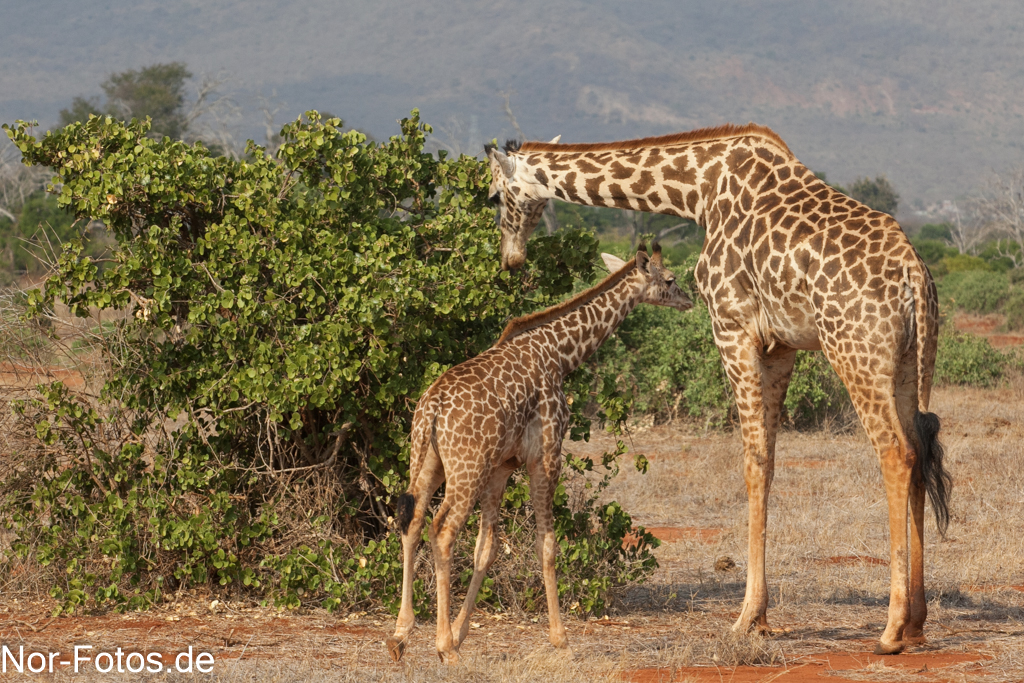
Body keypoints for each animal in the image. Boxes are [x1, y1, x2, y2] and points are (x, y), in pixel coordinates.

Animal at [387, 244, 692, 663]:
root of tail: (431, 408)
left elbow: (487, 550)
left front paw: (461, 631)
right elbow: (546, 544)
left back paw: (400, 636)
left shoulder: (502, 466)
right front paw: (560, 639)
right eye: (670, 279)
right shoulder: (546, 455)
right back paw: (443, 646)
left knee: (413, 520)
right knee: (443, 530)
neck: (561, 355)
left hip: (428, 460)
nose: (689, 300)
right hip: (466, 468)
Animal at [485, 125, 950, 655]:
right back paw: (917, 622)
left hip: (854, 352)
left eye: (494, 196)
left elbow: (752, 461)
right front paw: (762, 618)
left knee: (895, 451)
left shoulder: (732, 325)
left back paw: (891, 629)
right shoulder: (780, 345)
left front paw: (746, 616)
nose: (510, 259)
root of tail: (915, 275)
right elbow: (768, 459)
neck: (698, 191)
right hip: (908, 362)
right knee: (919, 449)